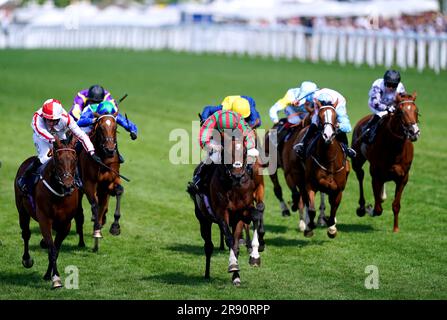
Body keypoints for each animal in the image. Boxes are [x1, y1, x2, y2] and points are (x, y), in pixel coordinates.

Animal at [14, 136, 81, 288]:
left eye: (74, 159)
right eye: (58, 159)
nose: (68, 185)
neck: (60, 194)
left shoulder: (65, 224)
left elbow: (56, 248)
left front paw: (48, 275)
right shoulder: (44, 219)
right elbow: (52, 249)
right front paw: (55, 279)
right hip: (22, 211)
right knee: (26, 234)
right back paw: (27, 259)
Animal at [79, 114, 123, 251]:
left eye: (115, 127)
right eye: (100, 128)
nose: (110, 150)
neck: (103, 160)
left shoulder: (110, 183)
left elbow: (119, 191)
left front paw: (115, 227)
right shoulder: (89, 183)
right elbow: (95, 204)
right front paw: (97, 229)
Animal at [192, 135, 262, 284]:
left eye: (245, 152)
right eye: (228, 152)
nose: (237, 175)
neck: (234, 186)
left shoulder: (242, 213)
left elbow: (255, 217)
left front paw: (254, 257)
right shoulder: (221, 213)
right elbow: (229, 239)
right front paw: (233, 265)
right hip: (203, 219)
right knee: (208, 246)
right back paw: (207, 274)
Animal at [298, 100, 350, 238]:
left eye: (336, 117)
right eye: (320, 117)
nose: (328, 135)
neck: (329, 160)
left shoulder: (338, 190)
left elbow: (333, 210)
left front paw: (332, 229)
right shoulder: (310, 184)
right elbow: (311, 209)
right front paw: (309, 227)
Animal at [354, 91, 420, 231]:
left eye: (416, 111)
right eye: (400, 112)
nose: (414, 132)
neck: (394, 148)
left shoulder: (403, 178)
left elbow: (396, 205)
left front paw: (396, 229)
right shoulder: (376, 176)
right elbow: (378, 209)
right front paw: (369, 209)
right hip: (357, 160)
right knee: (360, 175)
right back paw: (362, 208)